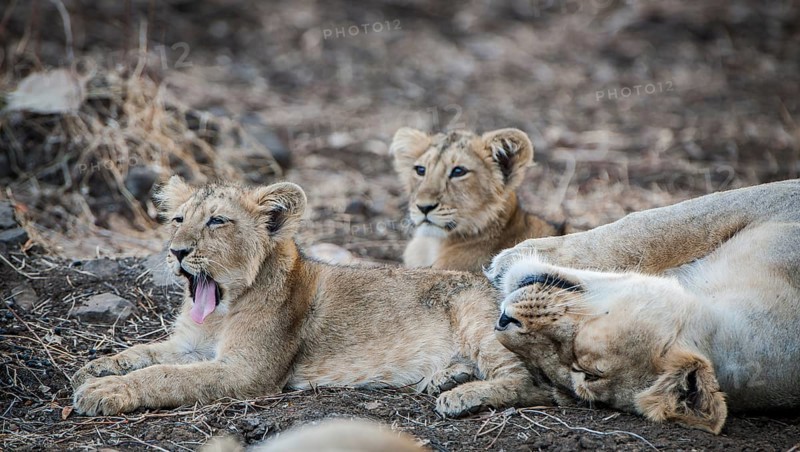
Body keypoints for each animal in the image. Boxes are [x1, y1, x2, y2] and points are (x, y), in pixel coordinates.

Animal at [71, 177, 551, 417]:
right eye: (177, 220)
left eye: (217, 222)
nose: (176, 251)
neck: (222, 309)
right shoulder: (192, 346)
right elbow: (149, 354)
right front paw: (98, 366)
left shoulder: (248, 373)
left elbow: (165, 376)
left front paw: (103, 391)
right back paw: (446, 378)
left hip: (476, 315)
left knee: (532, 383)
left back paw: (460, 396)